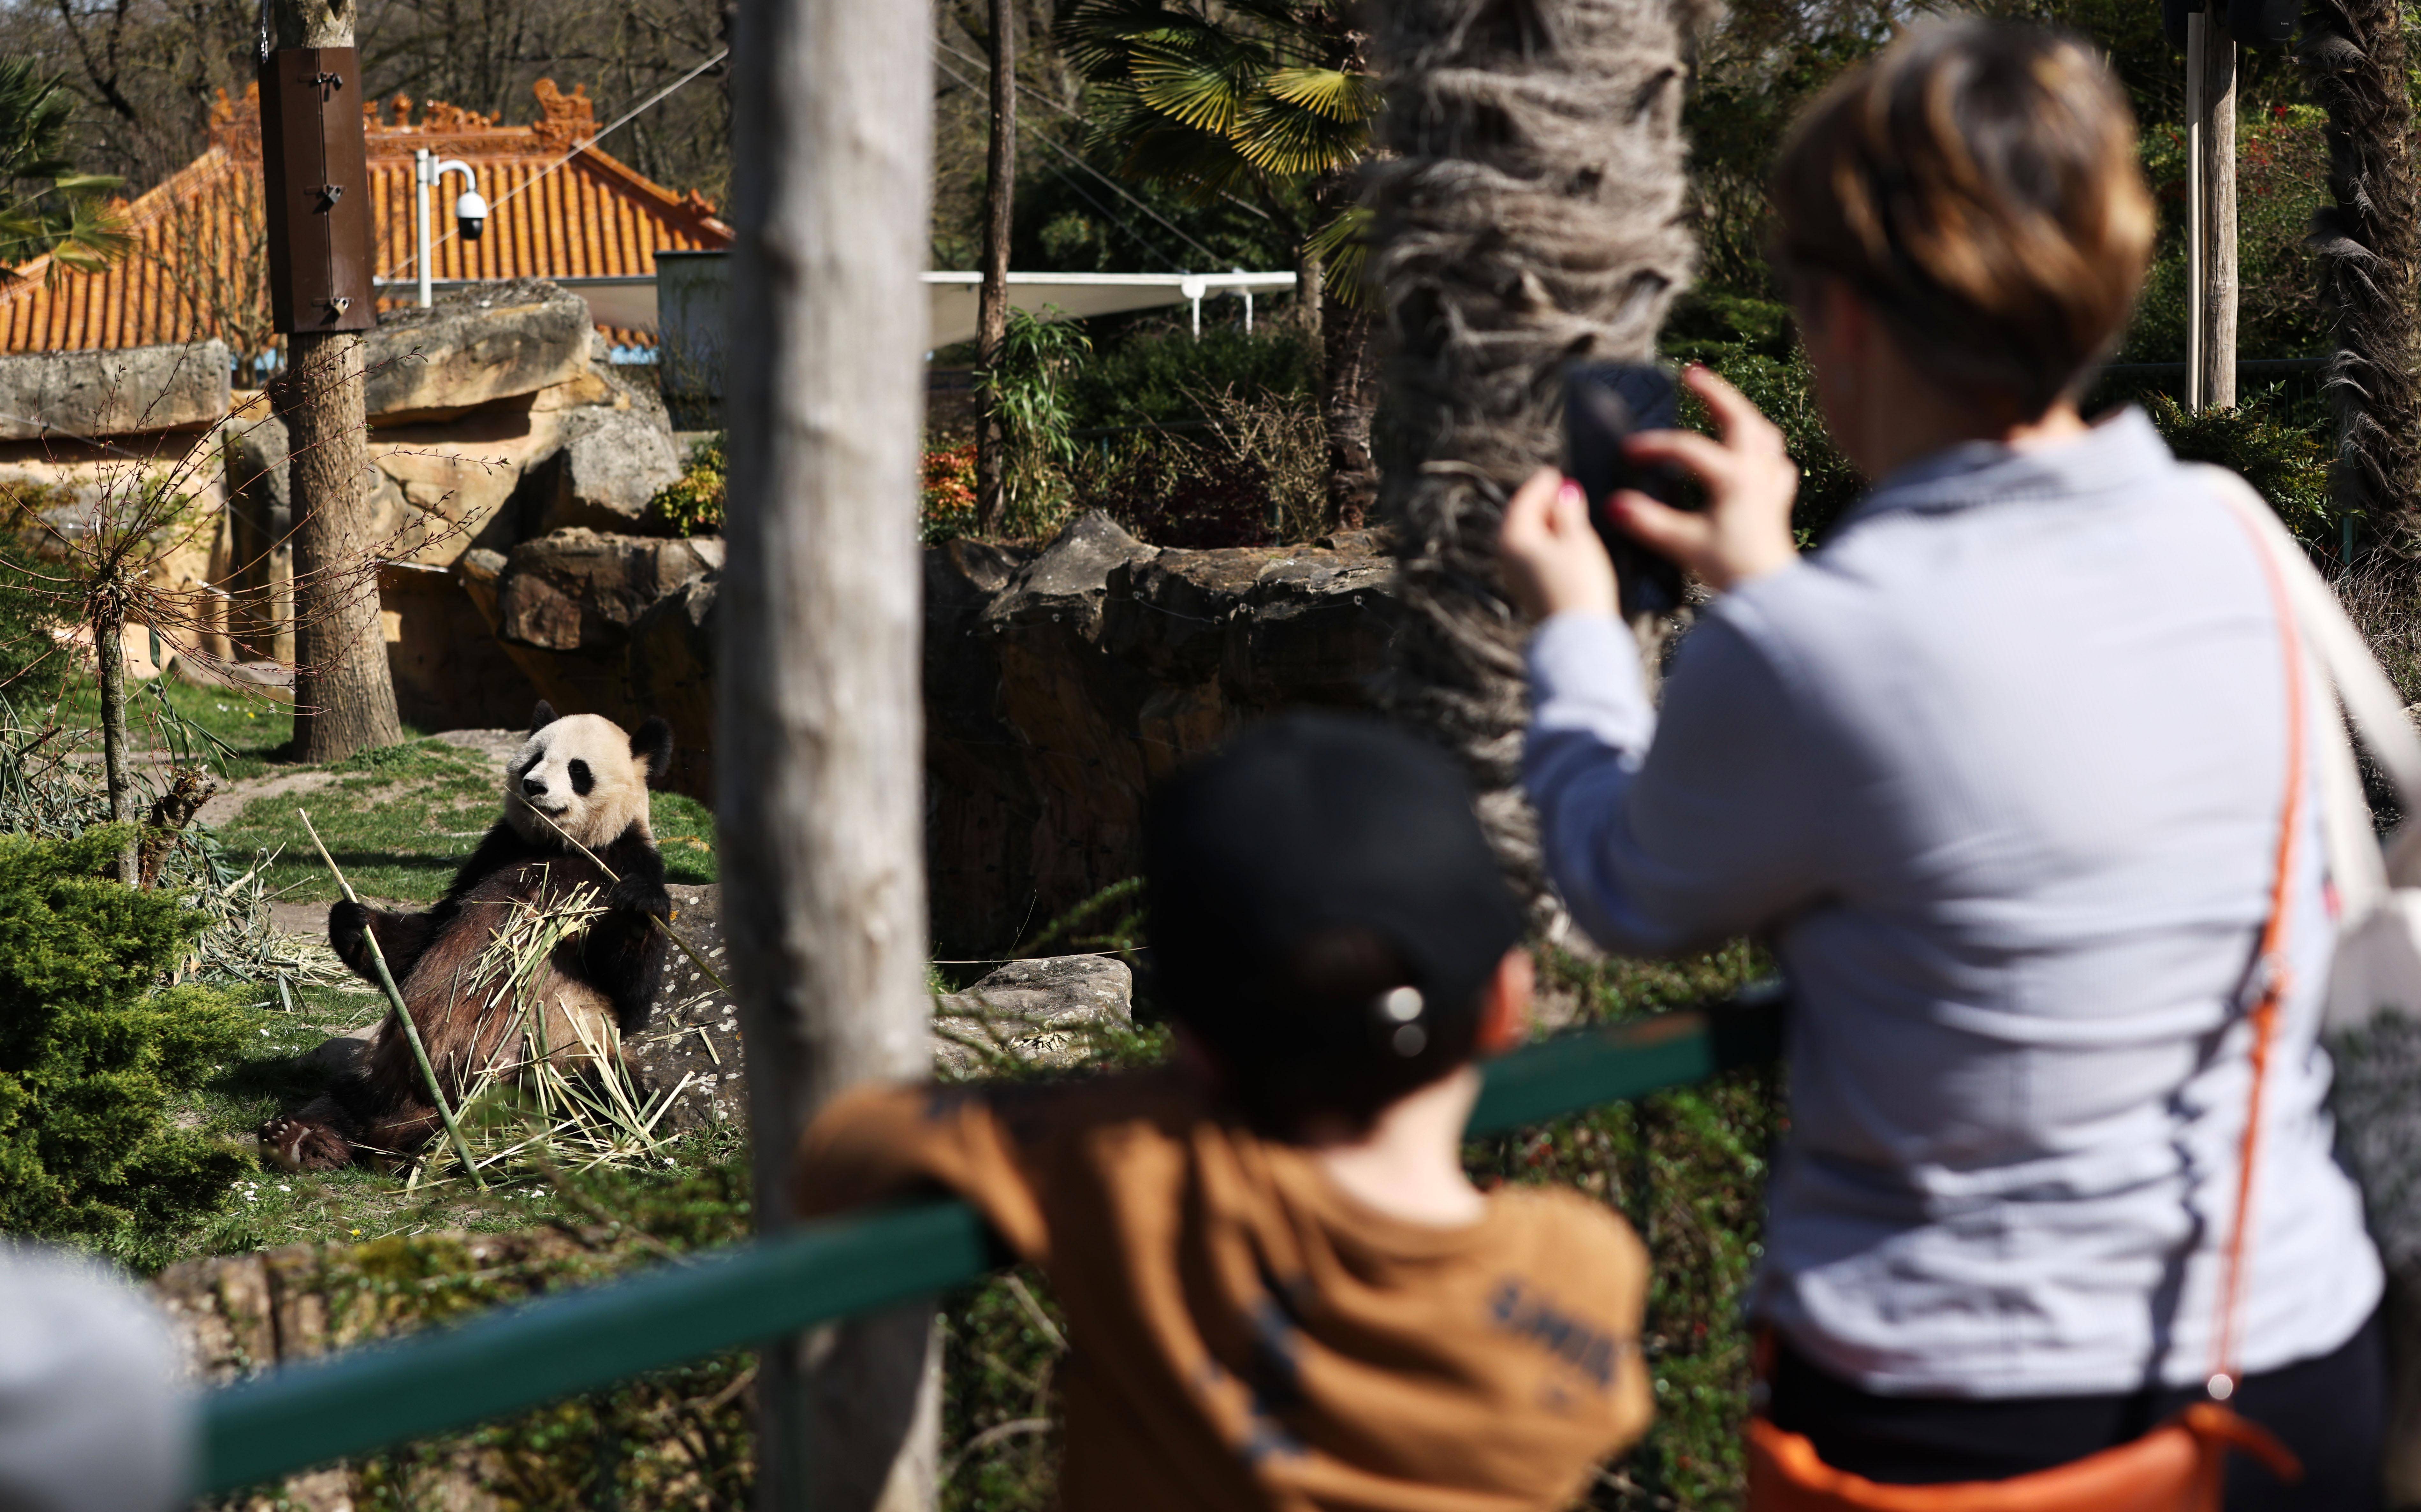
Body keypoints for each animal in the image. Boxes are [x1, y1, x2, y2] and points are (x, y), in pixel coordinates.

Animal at [260, 703, 678, 1178]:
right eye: (535, 758)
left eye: (578, 769)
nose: (533, 786)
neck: (561, 847)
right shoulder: (496, 852)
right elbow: (425, 939)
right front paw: (353, 920)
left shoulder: (626, 860)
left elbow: (630, 995)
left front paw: (637, 912)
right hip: (388, 1070)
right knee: (347, 1097)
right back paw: (300, 1139)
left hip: (562, 1055)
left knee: (604, 1095)